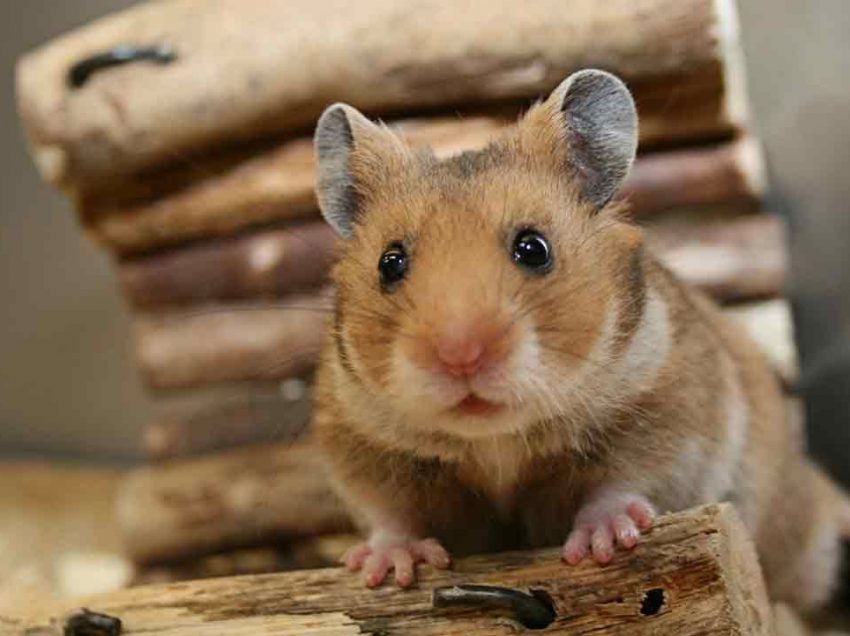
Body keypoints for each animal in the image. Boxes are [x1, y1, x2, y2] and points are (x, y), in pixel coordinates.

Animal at [310, 69, 850, 610]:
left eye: (534, 249)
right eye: (390, 263)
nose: (460, 357)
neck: (495, 440)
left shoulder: (671, 411)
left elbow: (625, 480)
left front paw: (601, 545)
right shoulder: (358, 440)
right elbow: (390, 513)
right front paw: (388, 567)